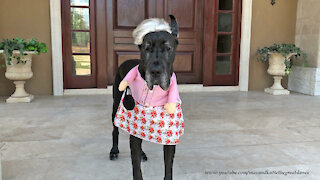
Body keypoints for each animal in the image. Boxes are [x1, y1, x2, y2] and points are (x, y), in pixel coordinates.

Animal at [110, 15, 180, 180]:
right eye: (146, 48)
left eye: (168, 48)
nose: (155, 71)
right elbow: (136, 168)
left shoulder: (170, 136)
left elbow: (168, 167)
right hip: (116, 103)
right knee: (115, 130)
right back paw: (114, 150)